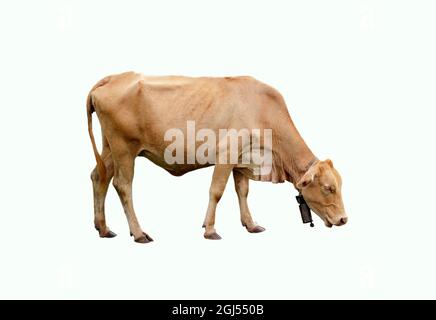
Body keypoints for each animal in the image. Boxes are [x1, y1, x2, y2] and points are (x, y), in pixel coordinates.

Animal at [87, 72, 348, 242]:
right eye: (328, 188)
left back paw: (103, 228)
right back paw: (139, 233)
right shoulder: (226, 154)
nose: (344, 219)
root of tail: (113, 77)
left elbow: (242, 191)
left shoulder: (242, 161)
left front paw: (251, 225)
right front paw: (210, 230)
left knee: (99, 177)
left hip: (110, 148)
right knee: (123, 185)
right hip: (124, 148)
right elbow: (217, 191)